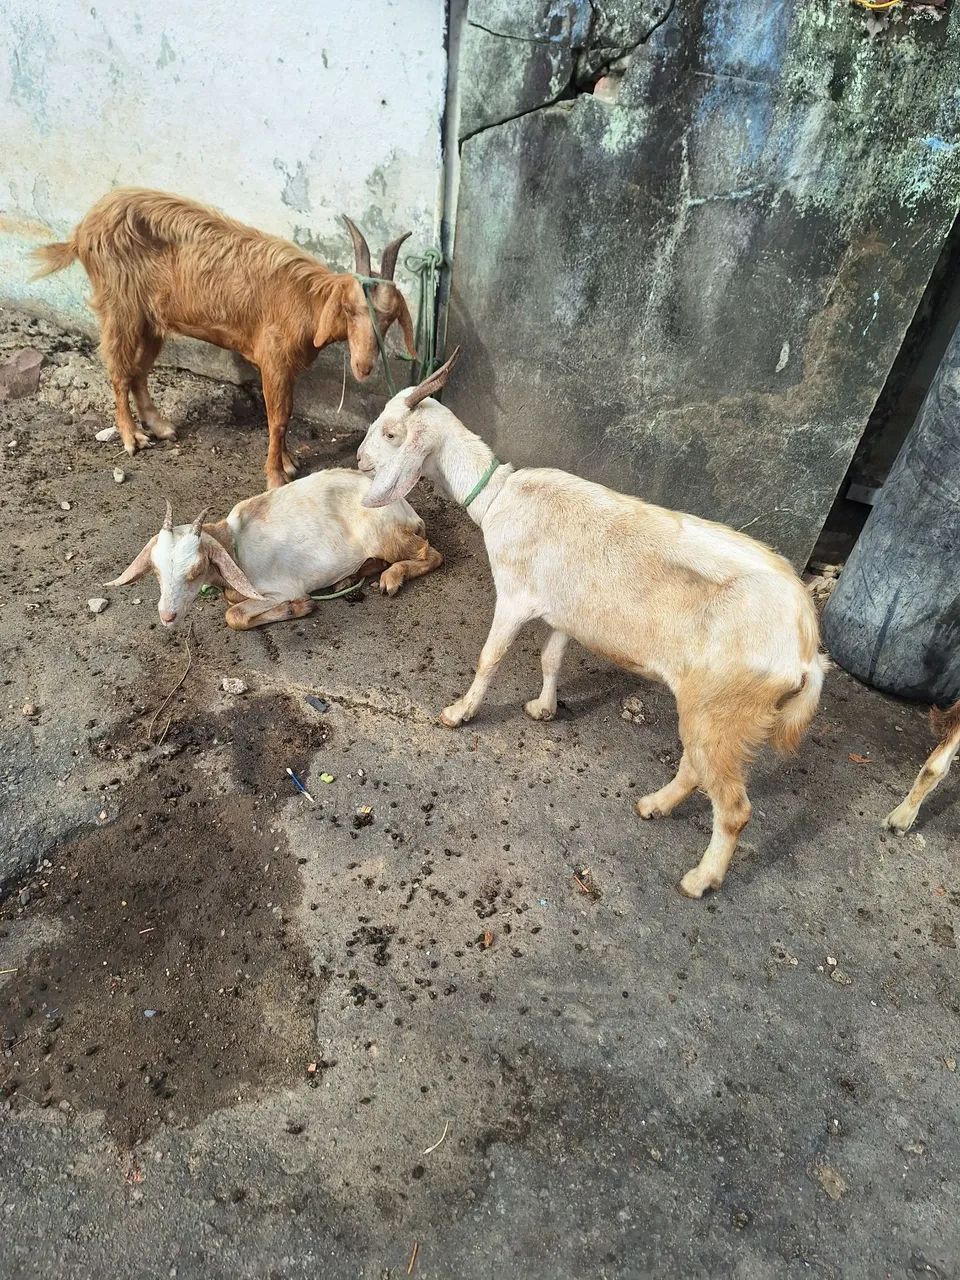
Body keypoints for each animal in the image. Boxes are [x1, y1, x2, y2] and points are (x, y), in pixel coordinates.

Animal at [32, 188, 417, 489]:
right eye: (350, 309)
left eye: (389, 319)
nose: (364, 366)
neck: (306, 299)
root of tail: (82, 231)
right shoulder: (273, 359)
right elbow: (278, 417)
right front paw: (276, 476)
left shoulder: (286, 366)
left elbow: (285, 414)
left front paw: (288, 461)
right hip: (119, 307)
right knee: (118, 369)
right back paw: (131, 437)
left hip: (152, 320)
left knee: (138, 371)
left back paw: (161, 426)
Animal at [105, 469, 441, 630]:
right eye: (156, 571)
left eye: (196, 570)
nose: (167, 616)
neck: (234, 545)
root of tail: (408, 510)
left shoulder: (281, 589)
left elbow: (234, 614)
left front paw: (297, 608)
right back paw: (347, 578)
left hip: (385, 534)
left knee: (432, 555)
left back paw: (391, 578)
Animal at [356, 348, 828, 897]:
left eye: (391, 432)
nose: (359, 460)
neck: (500, 497)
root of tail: (807, 650)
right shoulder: (564, 611)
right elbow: (550, 656)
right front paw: (543, 709)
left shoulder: (515, 595)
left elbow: (490, 657)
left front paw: (458, 713)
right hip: (712, 708)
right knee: (696, 766)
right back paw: (653, 806)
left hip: (727, 705)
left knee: (733, 807)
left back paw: (700, 878)